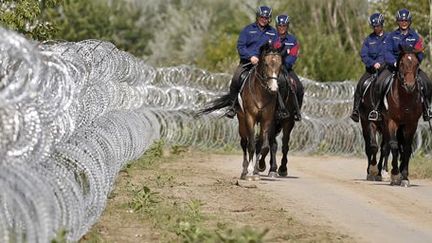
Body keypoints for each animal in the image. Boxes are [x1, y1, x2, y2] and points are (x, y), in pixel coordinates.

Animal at [382, 45, 422, 186]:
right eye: (402, 64)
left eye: (417, 64)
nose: (409, 85)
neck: (405, 98)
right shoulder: (392, 121)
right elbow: (394, 146)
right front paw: (395, 174)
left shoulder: (411, 124)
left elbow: (407, 148)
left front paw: (404, 176)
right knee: (390, 146)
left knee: (403, 148)